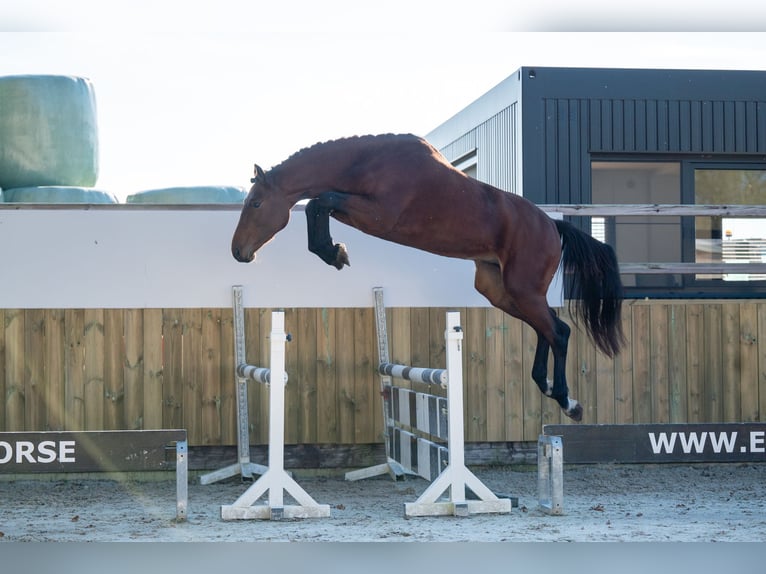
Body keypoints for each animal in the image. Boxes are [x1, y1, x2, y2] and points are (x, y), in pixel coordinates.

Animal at [232, 134, 624, 424]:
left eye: (255, 203)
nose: (238, 251)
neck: (366, 162)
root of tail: (552, 226)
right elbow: (319, 204)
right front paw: (334, 251)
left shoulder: (379, 214)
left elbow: (320, 200)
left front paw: (335, 252)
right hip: (501, 291)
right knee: (549, 328)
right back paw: (548, 387)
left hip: (522, 290)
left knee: (559, 331)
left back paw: (568, 401)